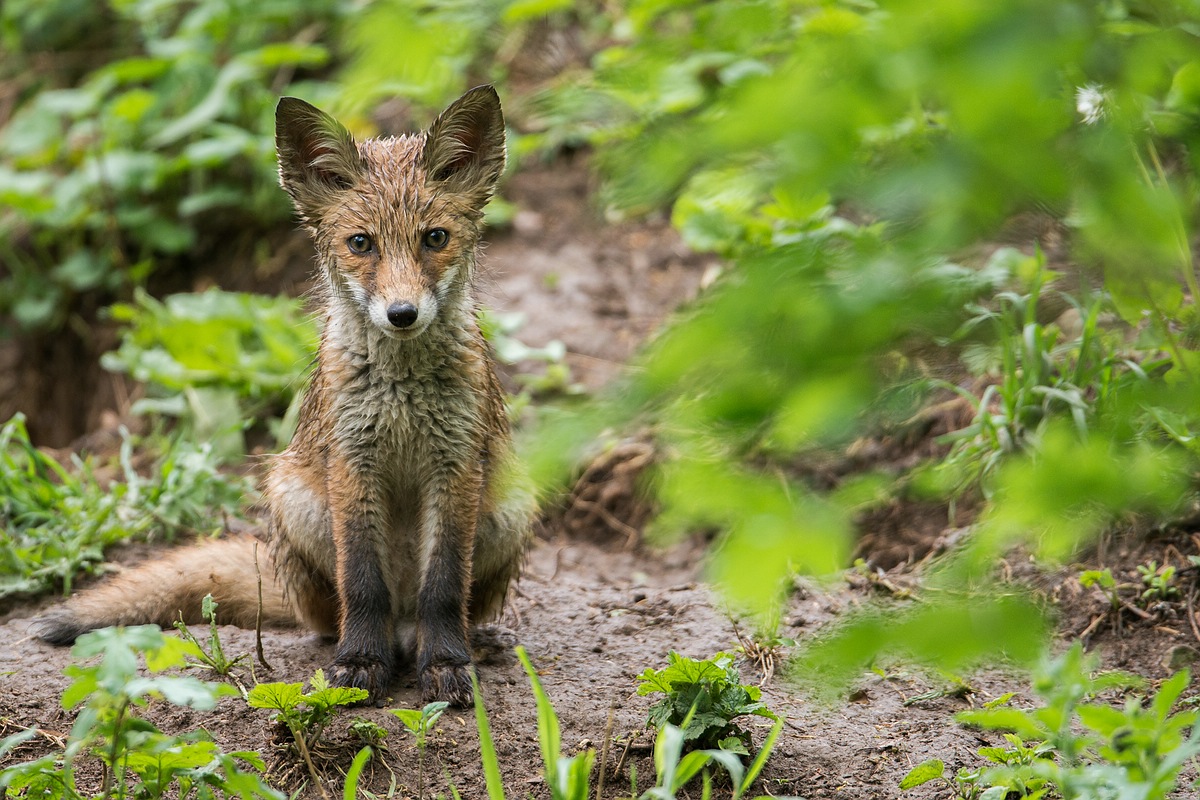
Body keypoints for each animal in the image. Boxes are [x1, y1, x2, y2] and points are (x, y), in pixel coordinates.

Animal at [32, 82, 535, 705]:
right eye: (361, 243)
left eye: (434, 238)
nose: (402, 314)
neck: (402, 395)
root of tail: (401, 628)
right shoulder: (352, 462)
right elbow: (363, 584)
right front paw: (360, 663)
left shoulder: (456, 464)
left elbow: (443, 587)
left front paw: (445, 663)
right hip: (296, 501)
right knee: (333, 618)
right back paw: (367, 644)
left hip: (508, 509)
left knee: (436, 607)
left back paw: (470, 640)